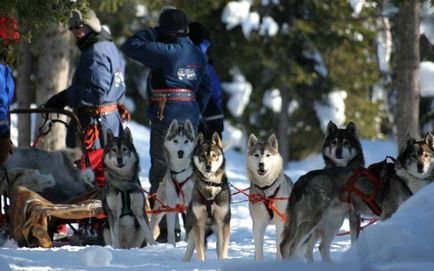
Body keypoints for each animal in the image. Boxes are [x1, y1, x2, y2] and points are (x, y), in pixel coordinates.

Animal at [182, 133, 231, 262]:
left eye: (214, 155)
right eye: (202, 156)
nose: (209, 166)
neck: (210, 184)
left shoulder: (223, 222)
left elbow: (223, 247)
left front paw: (223, 260)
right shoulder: (198, 223)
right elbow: (199, 249)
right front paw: (201, 262)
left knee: (218, 246)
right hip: (192, 232)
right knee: (190, 248)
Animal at [246, 134, 294, 262]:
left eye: (268, 155)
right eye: (256, 155)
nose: (261, 164)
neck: (266, 190)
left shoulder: (280, 223)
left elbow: (279, 249)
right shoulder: (258, 223)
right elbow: (258, 250)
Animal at [282, 134, 434, 264]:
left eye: (426, 155)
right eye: (414, 156)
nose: (421, 166)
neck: (406, 179)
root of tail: (304, 178)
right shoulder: (387, 215)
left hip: (332, 223)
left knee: (319, 248)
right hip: (310, 222)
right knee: (290, 246)